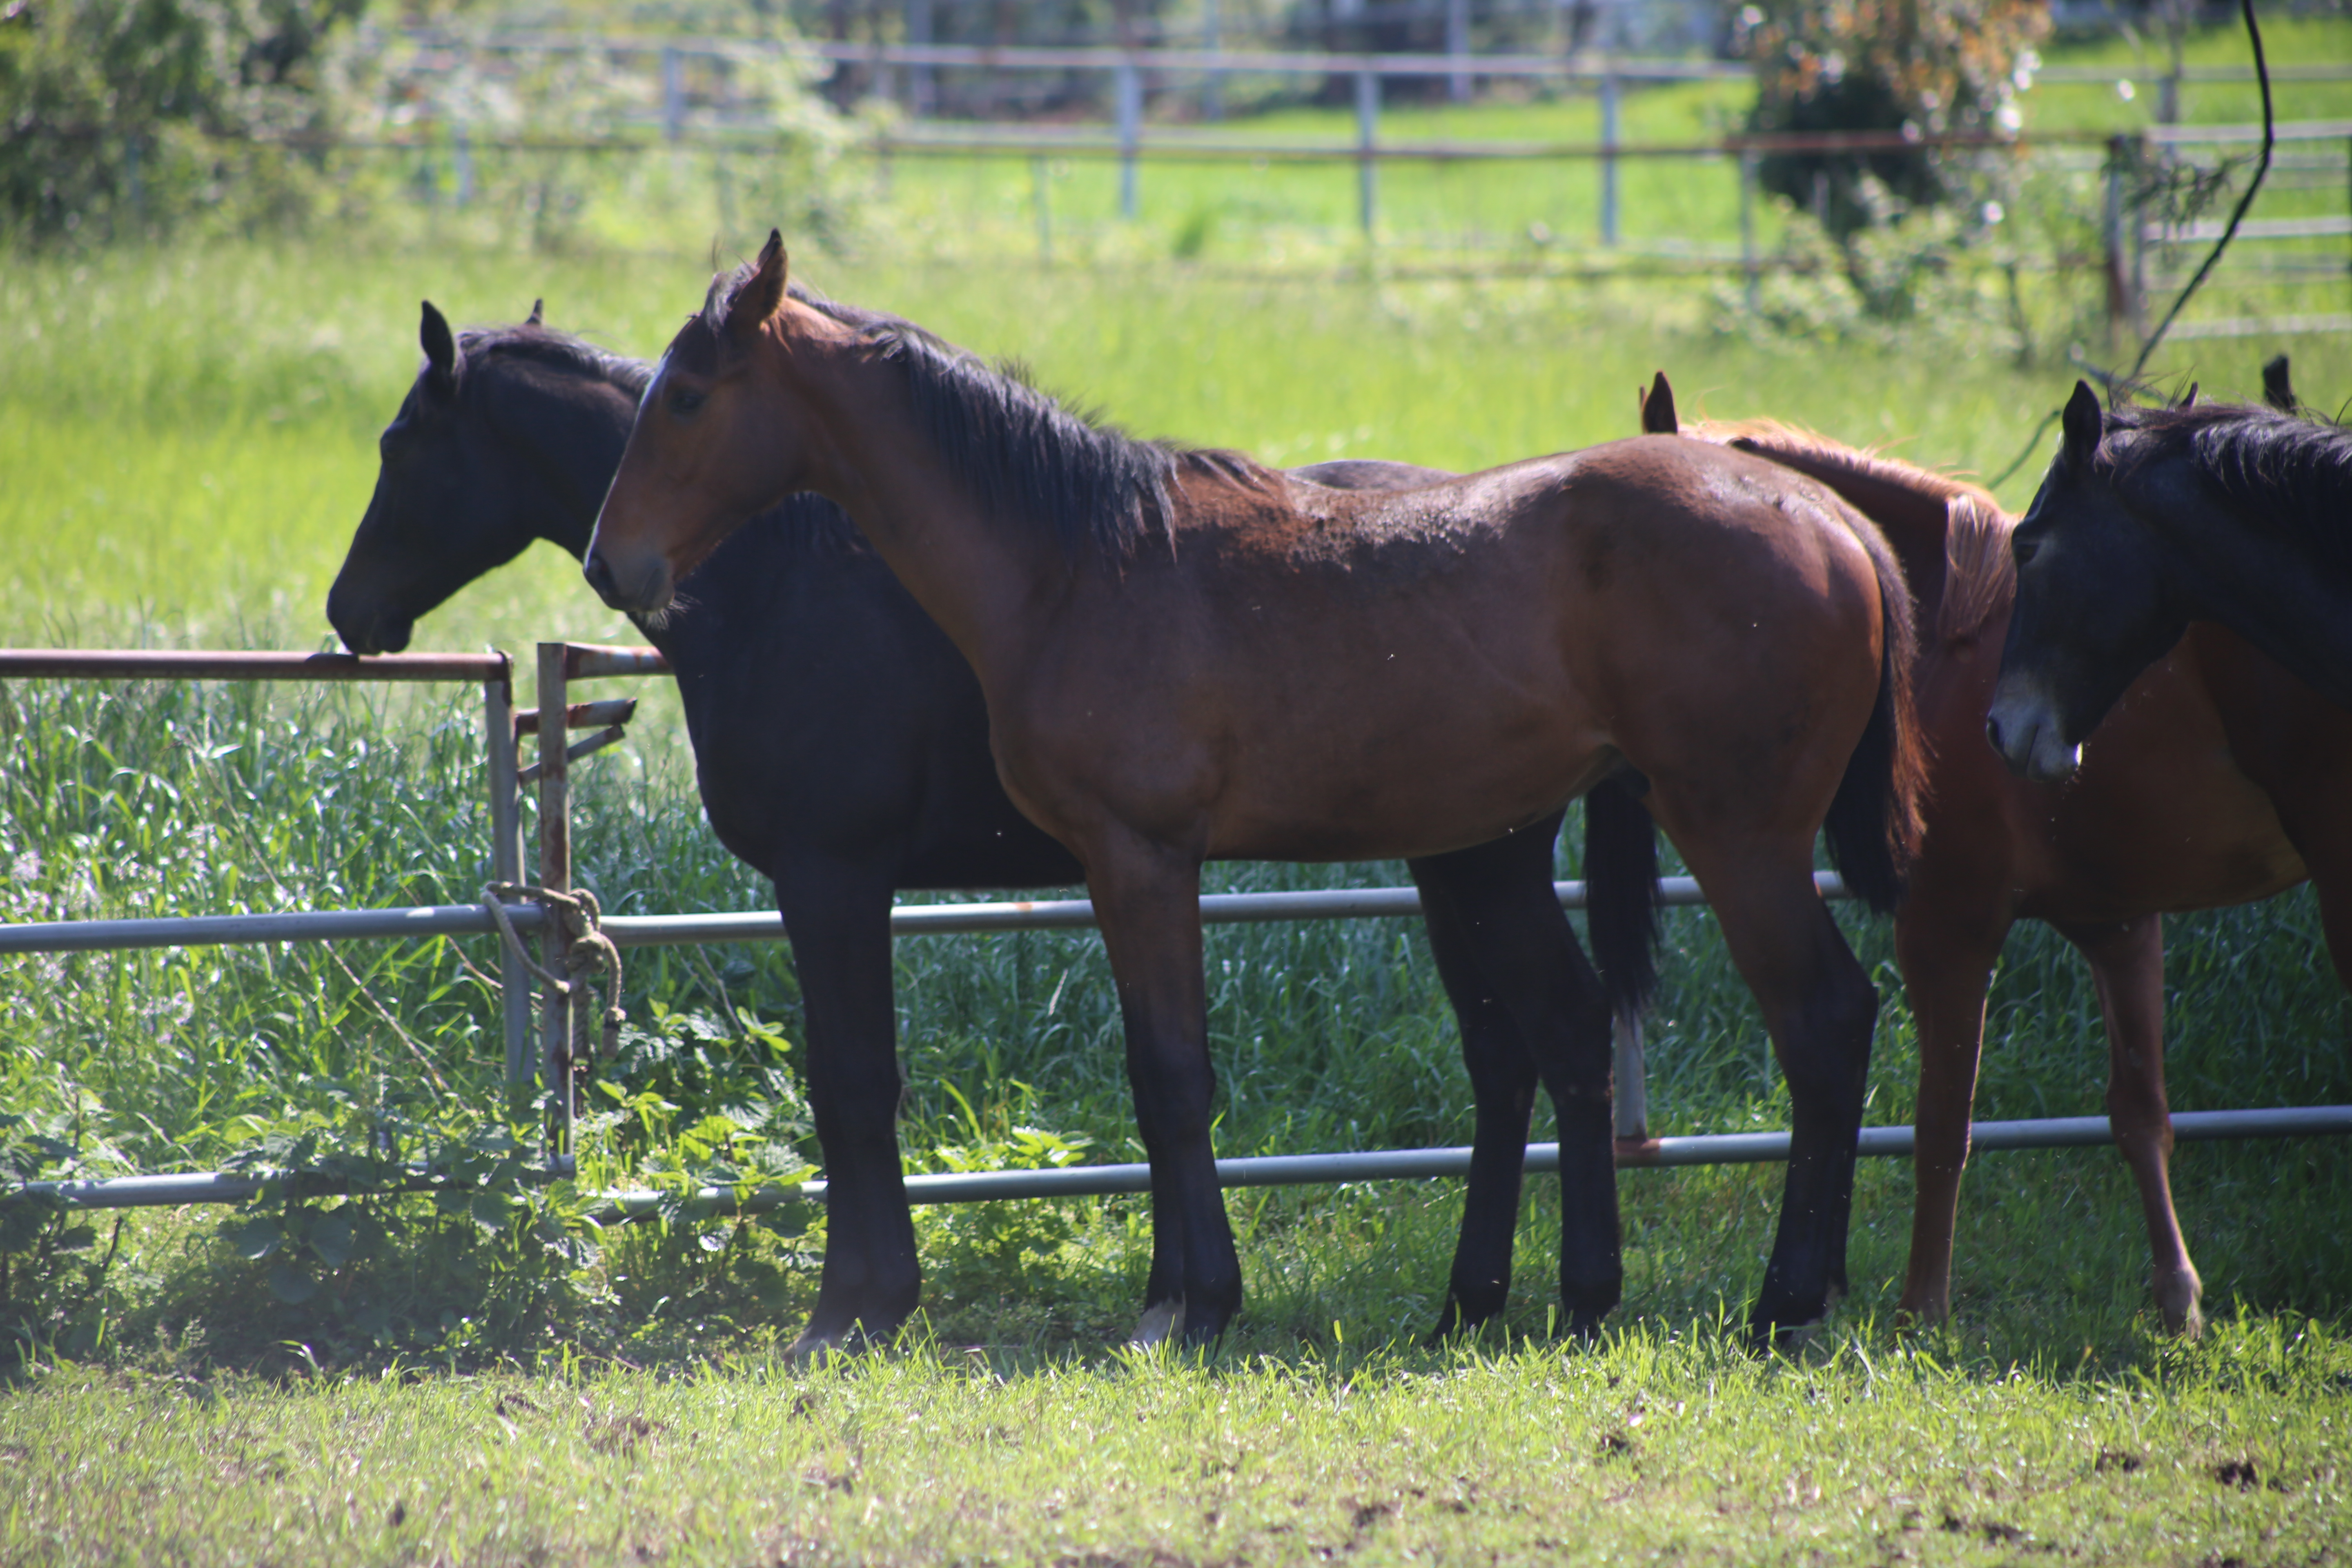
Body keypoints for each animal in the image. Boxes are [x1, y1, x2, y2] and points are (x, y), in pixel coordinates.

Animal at [578, 236, 1919, 1354]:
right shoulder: (1110, 869)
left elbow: (1175, 1077)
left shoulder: (1140, 857)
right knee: (1580, 1030)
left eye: (687, 395)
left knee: (1823, 1021)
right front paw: (1175, 1295)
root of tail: (1833, 519)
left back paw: (1786, 1299)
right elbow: (1149, 1075)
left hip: (1736, 838)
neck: (1074, 565)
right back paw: (1579, 1298)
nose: (609, 563)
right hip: (1504, 853)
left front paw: (1197, 1305)